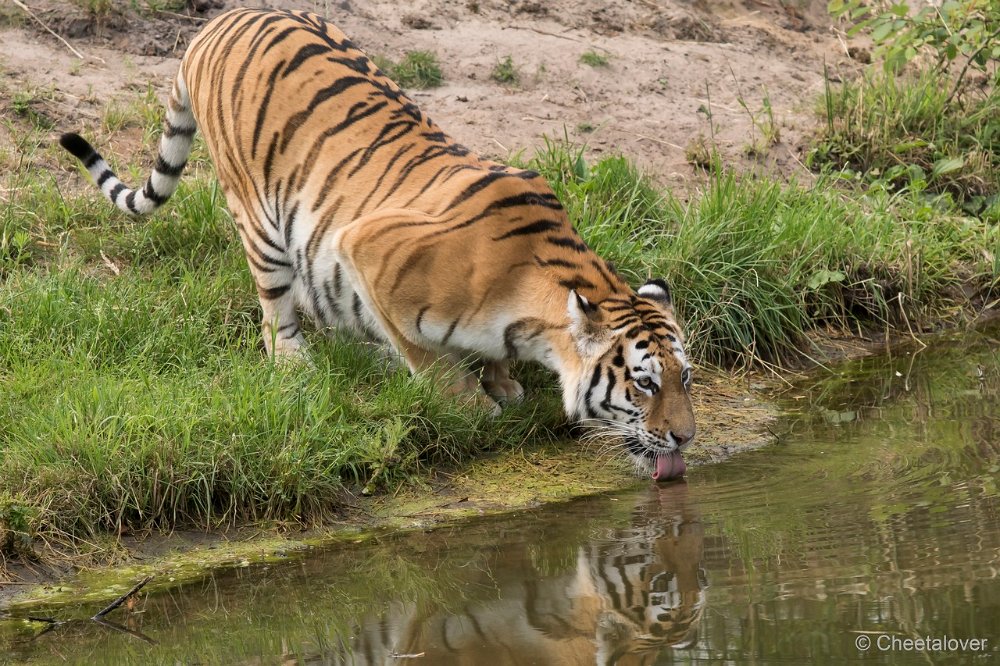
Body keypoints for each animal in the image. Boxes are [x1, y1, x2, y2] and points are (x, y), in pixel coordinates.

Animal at [60, 9, 696, 478]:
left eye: (685, 377)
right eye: (644, 383)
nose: (686, 437)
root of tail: (215, 23)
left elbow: (486, 352)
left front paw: (504, 383)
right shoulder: (367, 247)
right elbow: (426, 355)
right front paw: (471, 405)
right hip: (261, 219)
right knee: (275, 311)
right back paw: (295, 362)